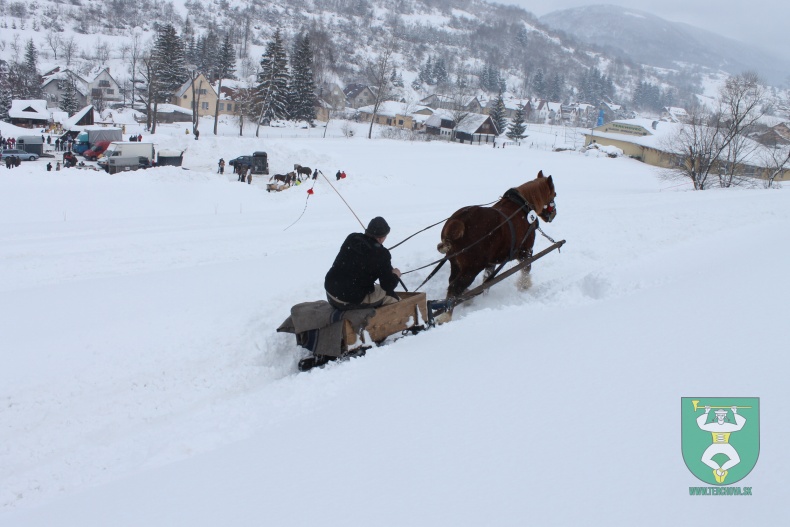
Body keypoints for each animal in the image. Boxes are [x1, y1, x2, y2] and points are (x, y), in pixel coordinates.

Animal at [436, 171, 560, 320]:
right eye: (554, 195)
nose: (554, 214)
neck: (522, 207)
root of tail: (458, 221)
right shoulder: (525, 252)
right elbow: (526, 269)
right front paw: (524, 287)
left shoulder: (491, 262)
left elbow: (487, 282)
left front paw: (485, 299)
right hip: (471, 269)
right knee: (454, 288)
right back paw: (445, 316)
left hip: (456, 264)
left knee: (452, 283)